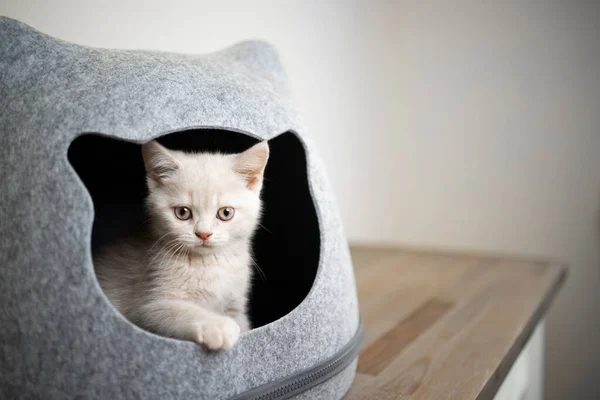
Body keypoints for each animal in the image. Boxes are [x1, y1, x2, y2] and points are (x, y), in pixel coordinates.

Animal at [94, 140, 270, 350]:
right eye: (183, 212)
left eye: (226, 213)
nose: (203, 233)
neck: (208, 265)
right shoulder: (146, 307)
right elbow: (178, 310)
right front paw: (218, 326)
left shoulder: (235, 306)